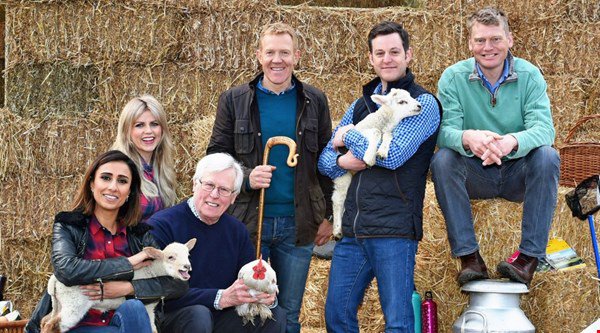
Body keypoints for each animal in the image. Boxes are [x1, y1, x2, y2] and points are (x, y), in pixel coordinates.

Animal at [42, 237, 197, 332]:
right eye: (170, 257)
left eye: (188, 255)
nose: (187, 266)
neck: (153, 271)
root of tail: (55, 279)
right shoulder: (146, 306)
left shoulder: (151, 308)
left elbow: (153, 328)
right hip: (74, 304)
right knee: (52, 325)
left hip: (60, 303)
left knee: (45, 321)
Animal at [332, 88, 422, 239]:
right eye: (402, 101)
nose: (419, 106)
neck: (385, 121)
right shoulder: (360, 131)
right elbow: (375, 132)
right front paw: (369, 157)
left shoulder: (387, 131)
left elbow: (387, 136)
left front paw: (382, 152)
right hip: (343, 176)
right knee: (338, 199)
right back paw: (337, 230)